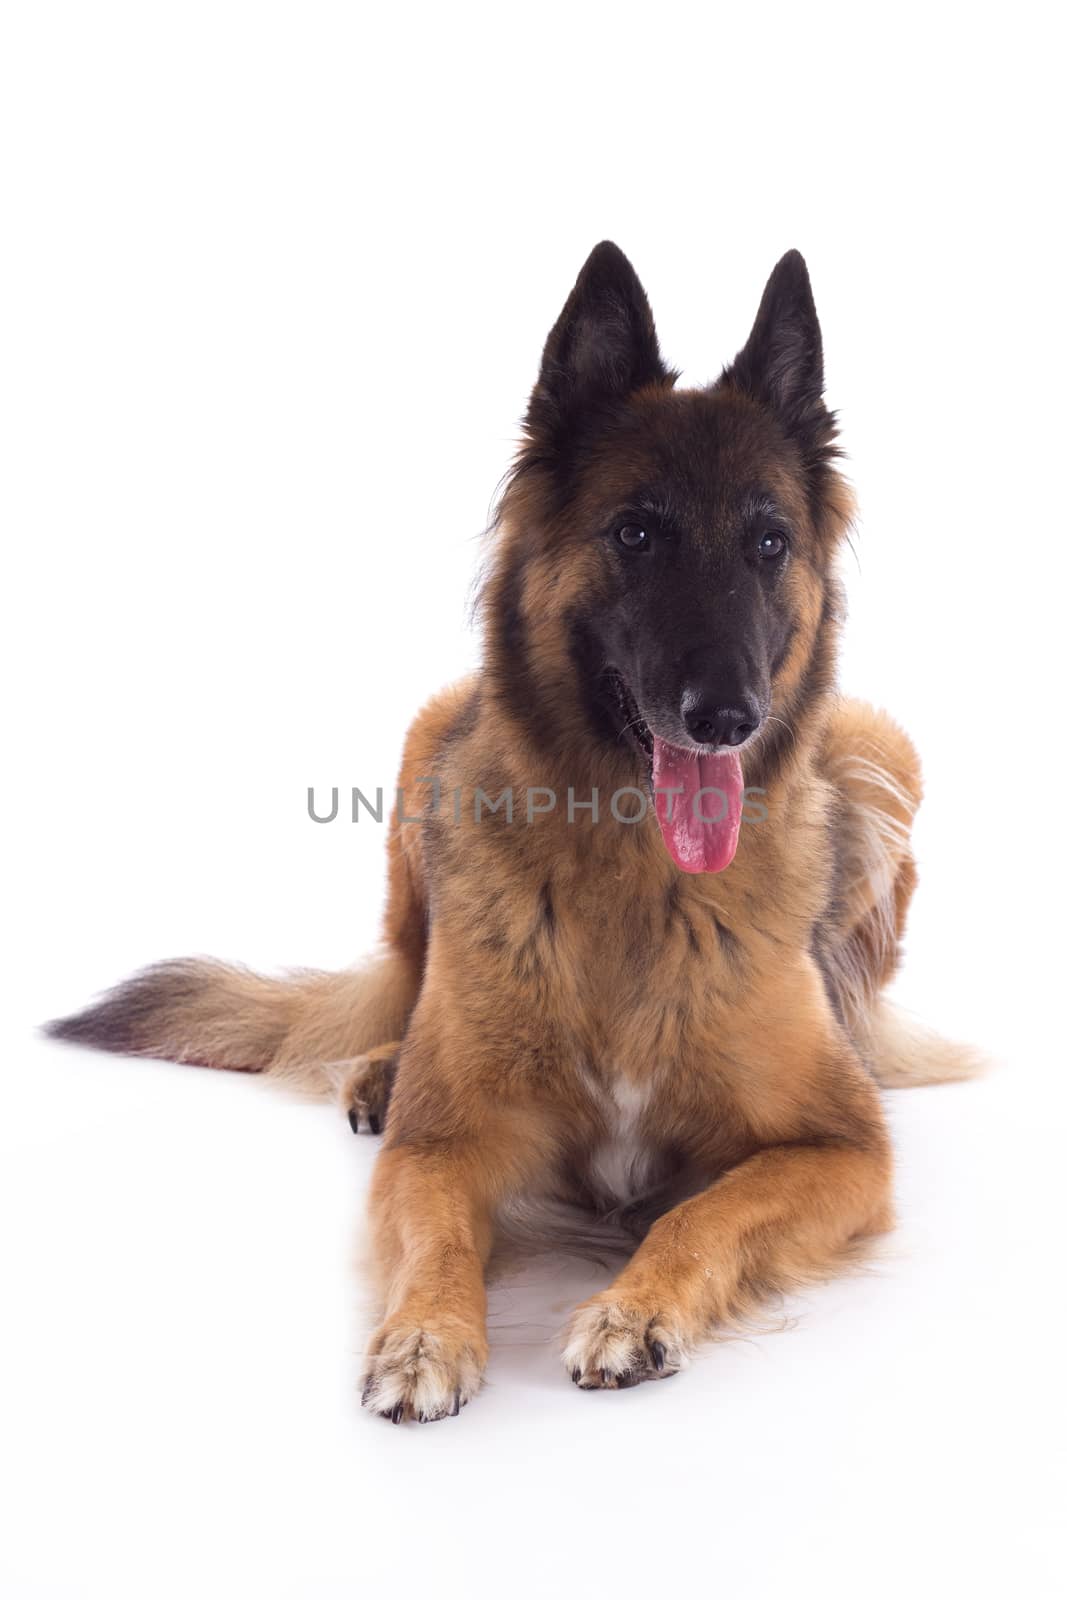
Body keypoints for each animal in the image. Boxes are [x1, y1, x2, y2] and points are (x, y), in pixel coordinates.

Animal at [49, 246, 985, 1427]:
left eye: (769, 542)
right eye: (635, 532)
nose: (726, 717)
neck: (635, 876)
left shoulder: (841, 1149)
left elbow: (702, 1212)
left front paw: (635, 1307)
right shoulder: (439, 1148)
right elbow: (436, 1236)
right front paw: (423, 1335)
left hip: (875, 744)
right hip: (424, 741)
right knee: (406, 986)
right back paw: (381, 1066)